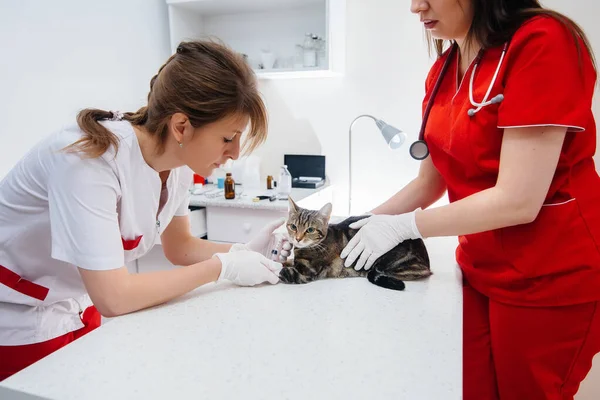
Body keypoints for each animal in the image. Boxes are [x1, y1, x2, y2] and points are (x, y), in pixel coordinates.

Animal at [282, 199, 432, 290]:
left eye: (310, 230)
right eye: (293, 227)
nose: (297, 239)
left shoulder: (305, 272)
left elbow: (283, 271)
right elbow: (287, 262)